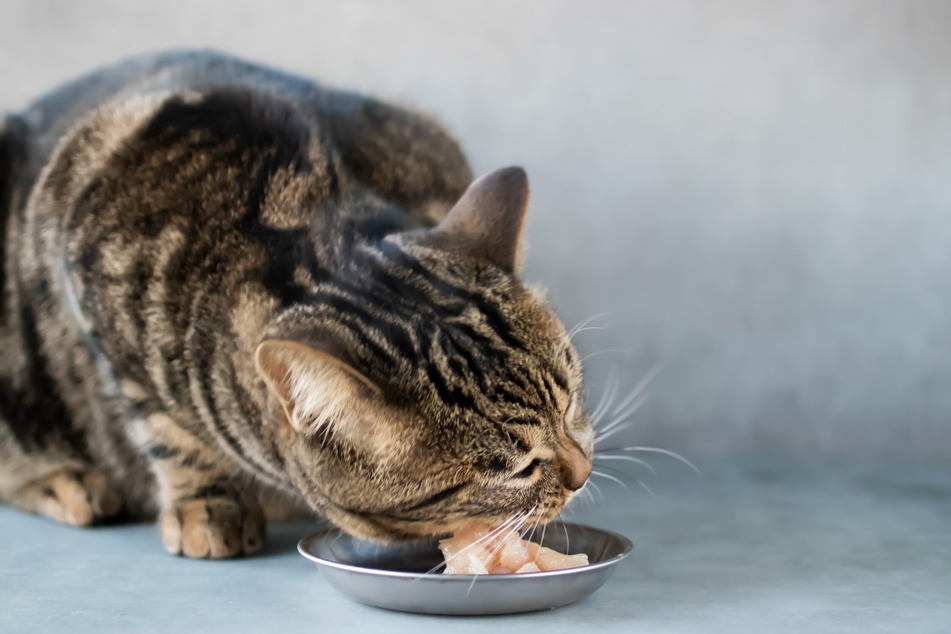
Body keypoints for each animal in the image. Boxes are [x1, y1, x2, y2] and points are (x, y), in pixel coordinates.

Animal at [0, 49, 592, 556]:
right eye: (517, 469)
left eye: (568, 407)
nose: (583, 473)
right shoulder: (90, 279)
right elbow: (165, 429)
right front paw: (208, 503)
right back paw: (66, 482)